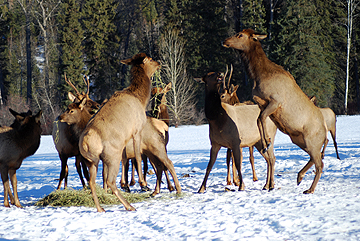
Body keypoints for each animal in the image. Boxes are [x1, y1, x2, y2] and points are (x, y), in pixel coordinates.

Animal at [79, 53, 160, 213]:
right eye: (150, 59)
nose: (159, 62)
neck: (141, 99)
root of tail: (84, 143)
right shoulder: (137, 130)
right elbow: (138, 156)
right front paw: (143, 183)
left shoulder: (124, 140)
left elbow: (126, 159)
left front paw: (127, 184)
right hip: (111, 155)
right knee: (110, 181)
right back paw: (129, 206)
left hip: (91, 161)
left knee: (92, 182)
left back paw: (100, 208)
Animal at [224, 28, 328, 194]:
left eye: (240, 35)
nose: (225, 41)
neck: (258, 75)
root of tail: (325, 129)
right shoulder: (261, 103)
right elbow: (258, 119)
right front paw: (265, 142)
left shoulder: (275, 101)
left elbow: (261, 118)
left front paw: (267, 141)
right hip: (299, 140)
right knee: (316, 159)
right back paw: (299, 176)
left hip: (311, 140)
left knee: (320, 164)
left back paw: (309, 189)